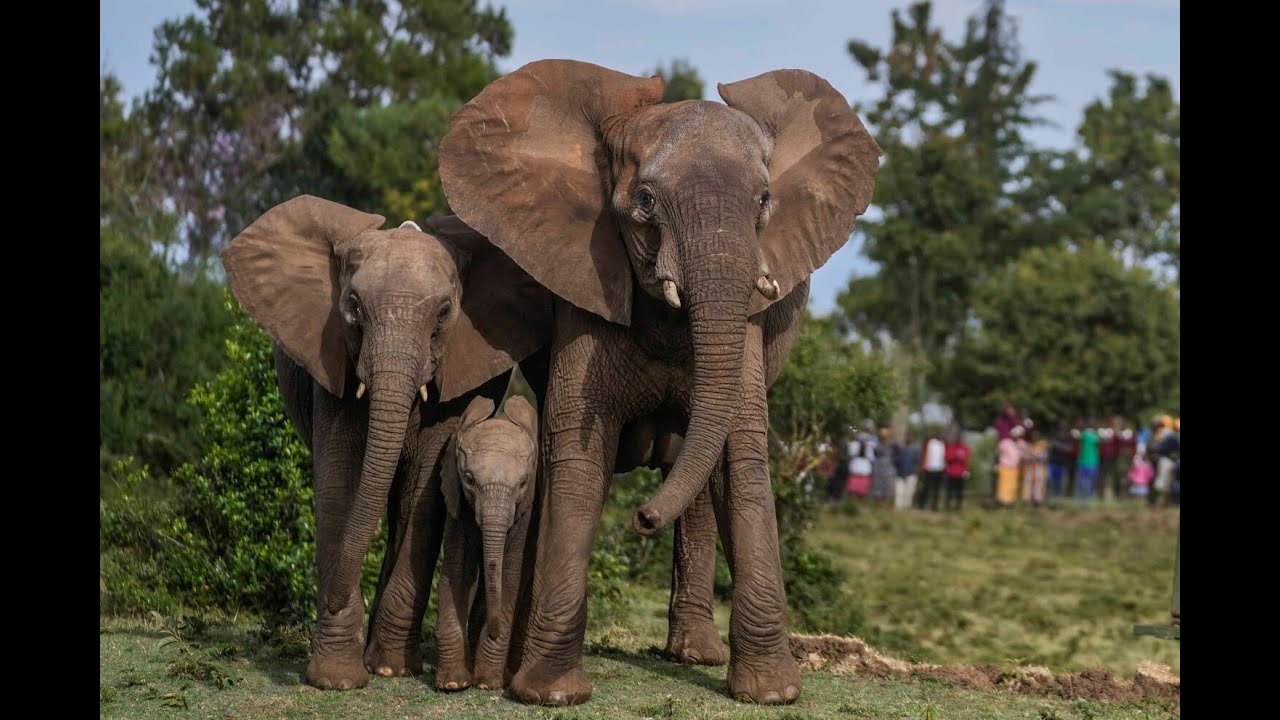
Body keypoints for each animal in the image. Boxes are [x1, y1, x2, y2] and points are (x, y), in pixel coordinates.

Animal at [435, 394, 539, 692]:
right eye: (469, 479)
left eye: (523, 483)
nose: (494, 631)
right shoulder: (457, 503)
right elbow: (458, 569)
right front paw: (453, 683)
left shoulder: (524, 512)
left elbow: (510, 574)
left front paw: (487, 683)